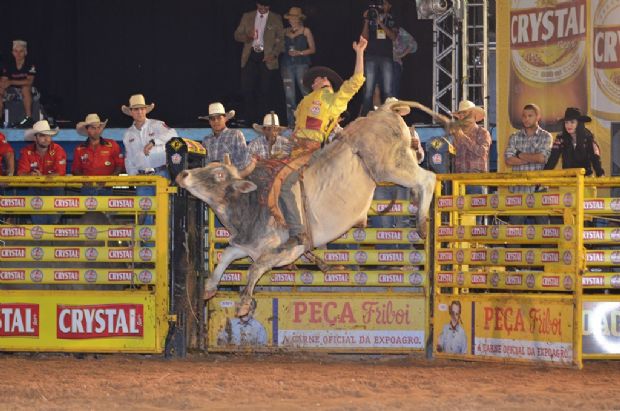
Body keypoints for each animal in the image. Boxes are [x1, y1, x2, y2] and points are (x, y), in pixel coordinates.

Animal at [177, 100, 448, 318]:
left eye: (219, 174)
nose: (183, 174)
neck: (253, 205)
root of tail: (385, 109)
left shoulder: (286, 250)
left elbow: (254, 268)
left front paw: (243, 304)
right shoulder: (246, 245)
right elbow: (225, 257)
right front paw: (209, 288)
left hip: (392, 167)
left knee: (428, 178)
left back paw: (421, 223)